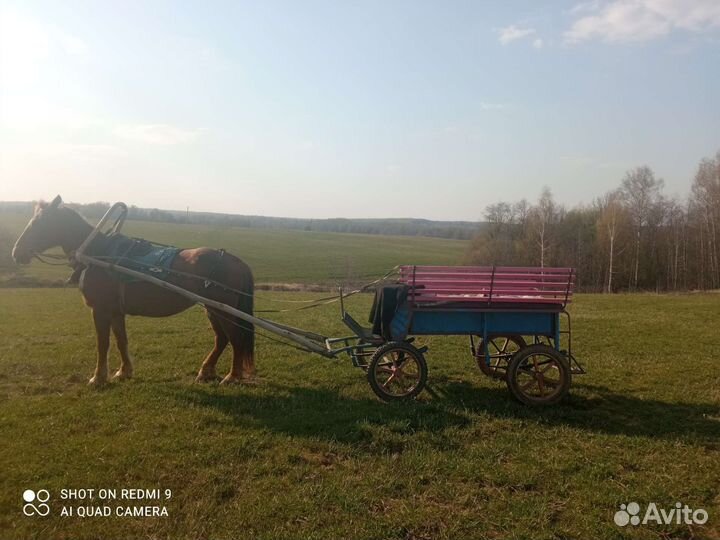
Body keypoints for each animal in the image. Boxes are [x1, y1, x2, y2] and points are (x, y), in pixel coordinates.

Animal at [11, 195, 255, 386]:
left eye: (39, 223)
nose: (16, 252)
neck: (98, 252)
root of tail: (237, 262)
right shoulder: (116, 311)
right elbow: (121, 340)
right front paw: (123, 372)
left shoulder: (100, 310)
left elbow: (103, 344)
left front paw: (98, 377)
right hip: (212, 309)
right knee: (222, 339)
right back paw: (206, 371)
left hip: (223, 309)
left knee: (235, 338)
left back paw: (232, 376)